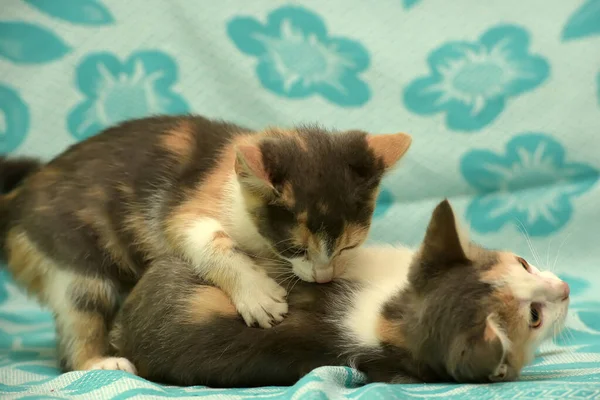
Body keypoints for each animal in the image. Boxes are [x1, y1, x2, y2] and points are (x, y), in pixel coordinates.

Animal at [0, 115, 412, 376]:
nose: (325, 278)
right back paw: (98, 362)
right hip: (73, 259)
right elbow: (209, 239)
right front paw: (258, 296)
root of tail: (17, 200)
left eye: (347, 247)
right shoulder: (183, 210)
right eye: (296, 249)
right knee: (79, 312)